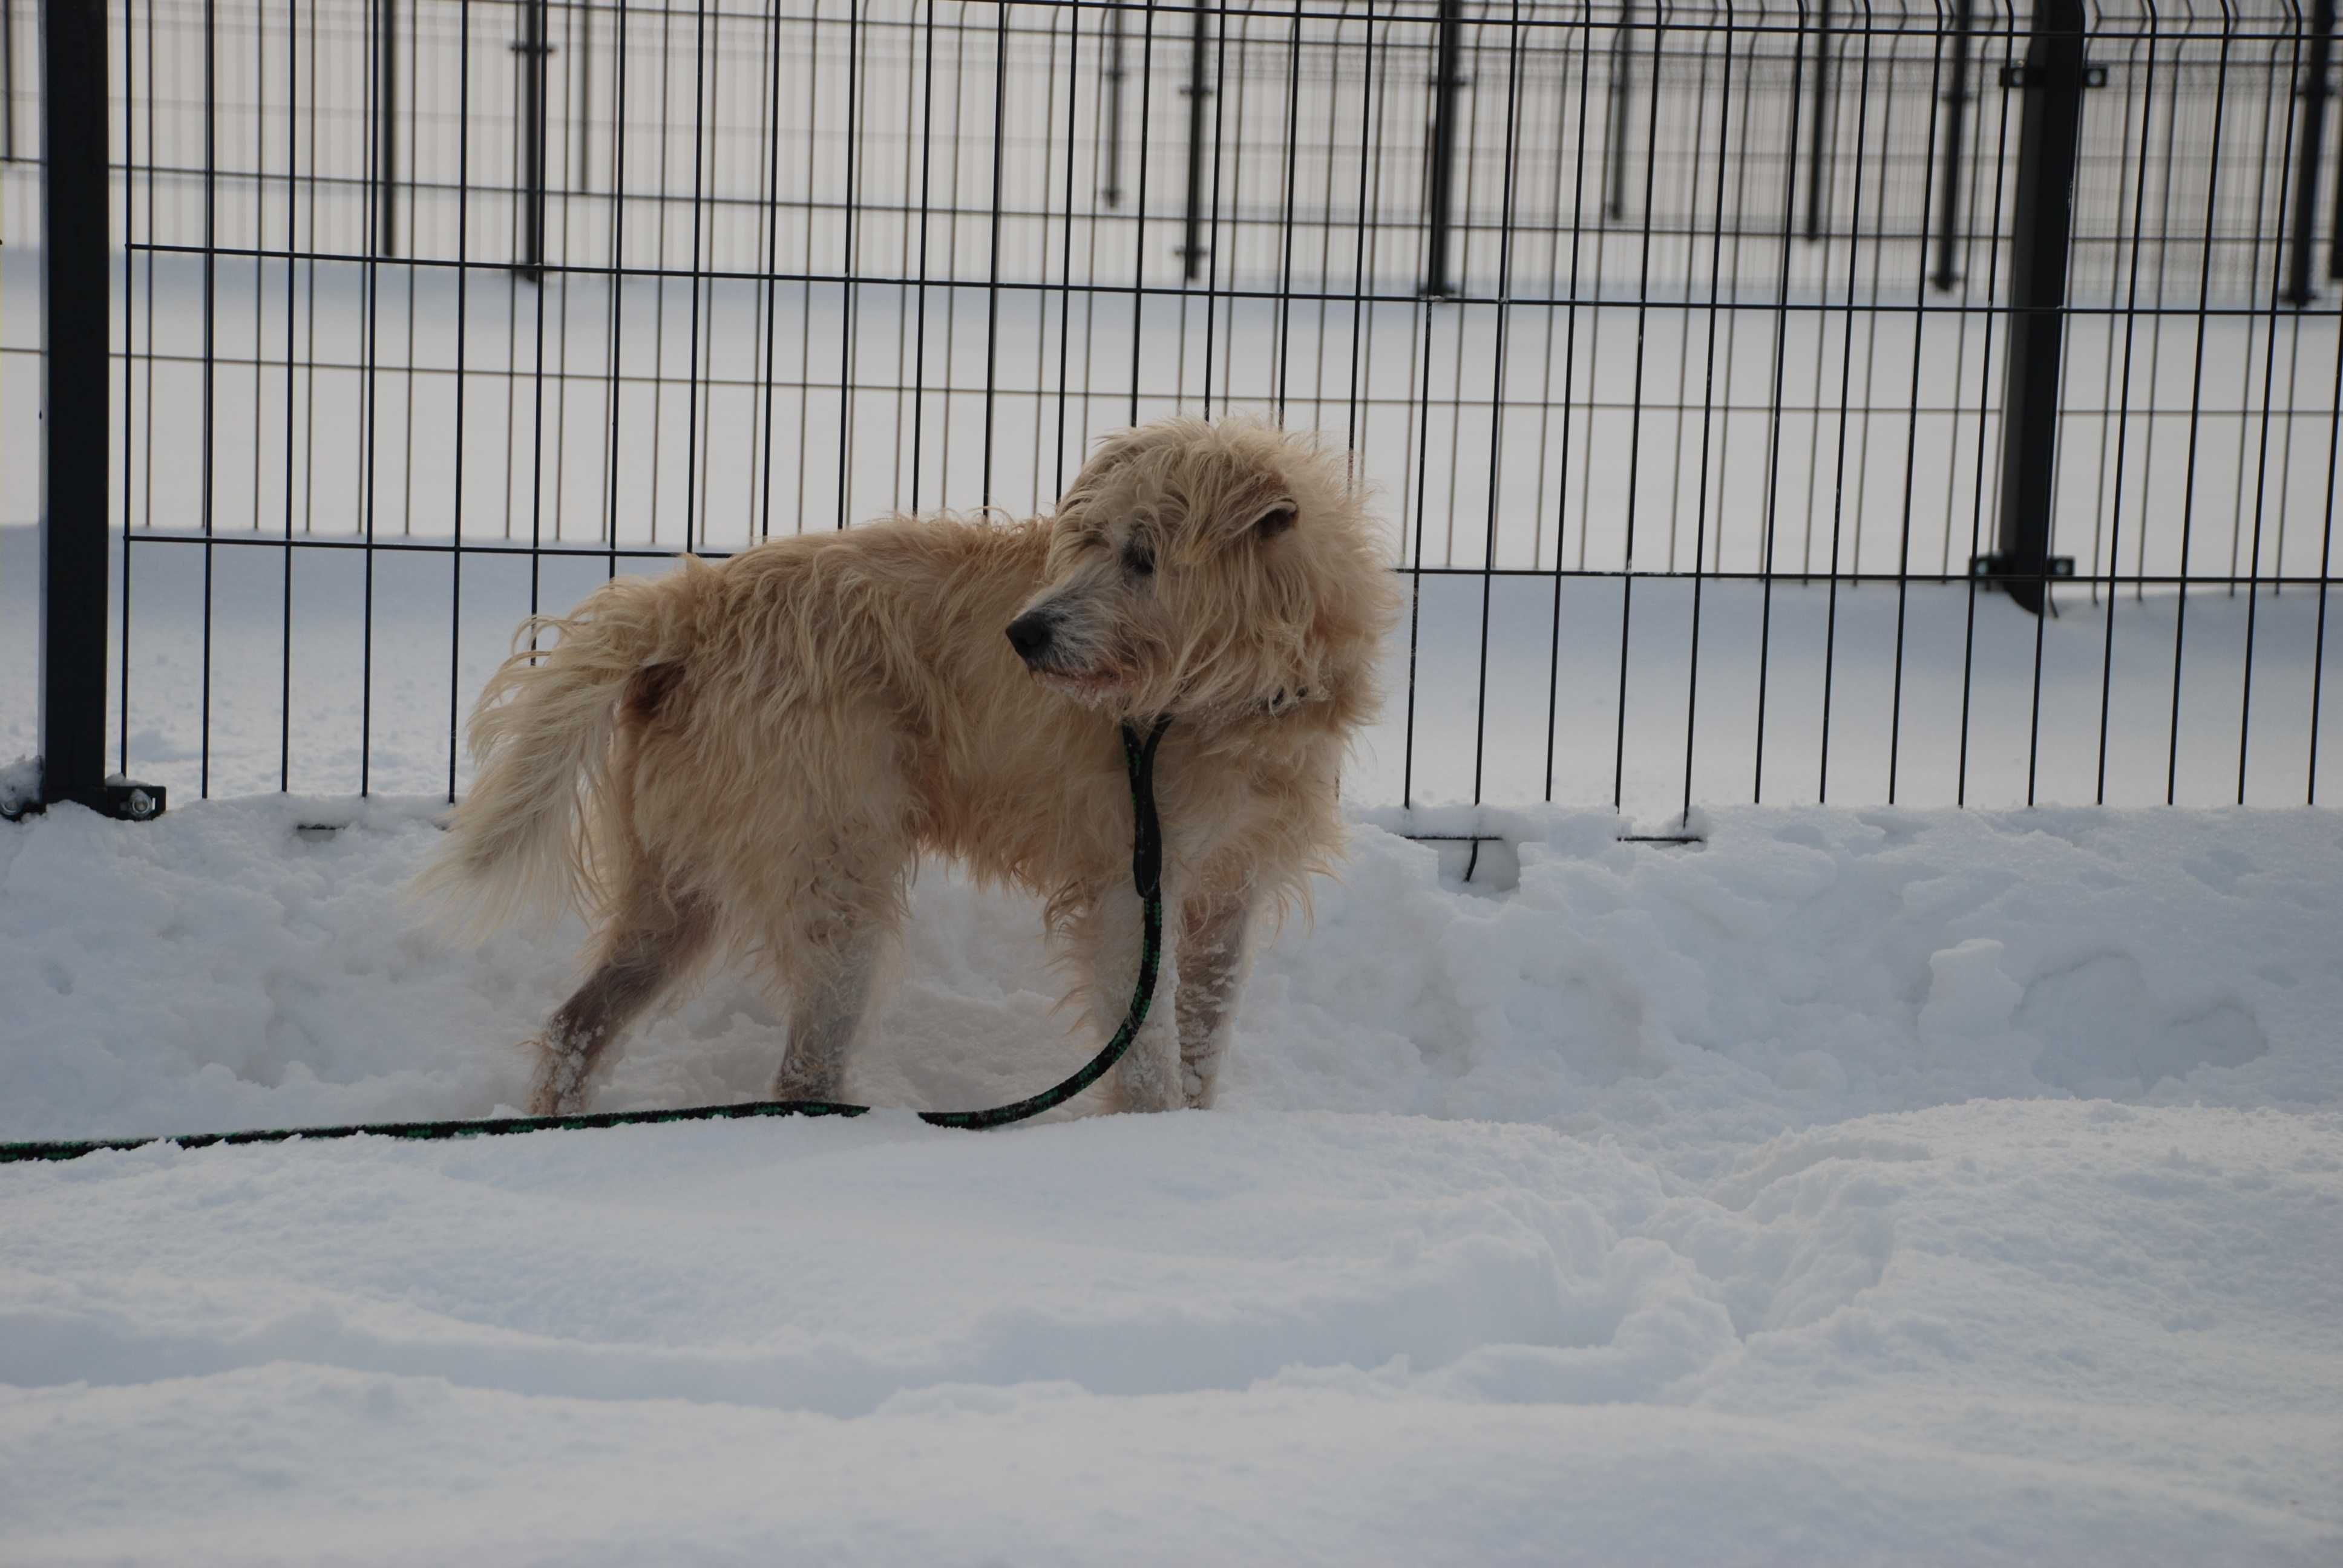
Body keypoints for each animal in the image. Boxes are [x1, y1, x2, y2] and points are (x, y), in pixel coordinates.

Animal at [417, 419, 1387, 1111]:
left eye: (1142, 556)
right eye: (1087, 544)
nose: (1022, 635)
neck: (1229, 698)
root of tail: (698, 601)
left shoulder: (1227, 896)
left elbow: (1200, 1038)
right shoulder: (1132, 890)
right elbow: (1148, 1060)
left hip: (675, 892)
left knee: (576, 1026)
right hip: (834, 878)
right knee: (800, 1074)